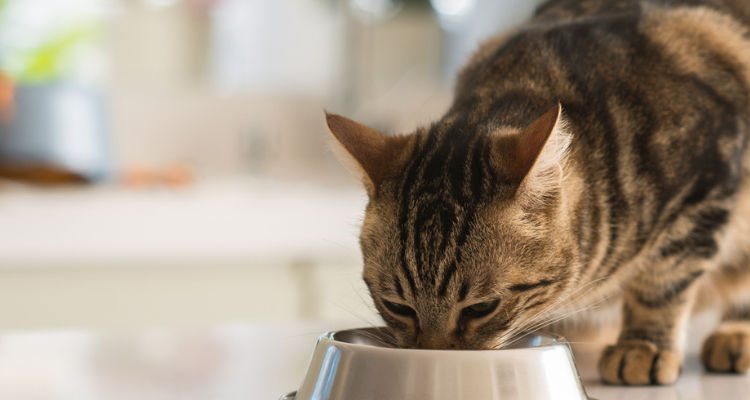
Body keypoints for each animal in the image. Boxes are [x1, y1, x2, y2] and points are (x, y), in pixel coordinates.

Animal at [326, 0, 750, 388]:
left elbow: (662, 282)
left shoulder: (706, 188)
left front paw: (642, 345)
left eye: (481, 308)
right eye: (397, 306)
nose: (433, 357)